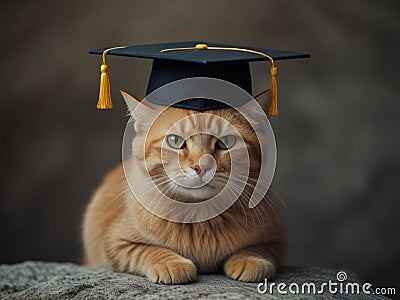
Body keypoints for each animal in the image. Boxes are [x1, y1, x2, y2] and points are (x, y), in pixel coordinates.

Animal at [83, 90, 286, 284]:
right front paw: (171, 263)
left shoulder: (276, 241)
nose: (201, 167)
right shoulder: (114, 243)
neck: (201, 217)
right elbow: (147, 251)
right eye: (174, 141)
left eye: (226, 142)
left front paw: (250, 261)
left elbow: (256, 249)